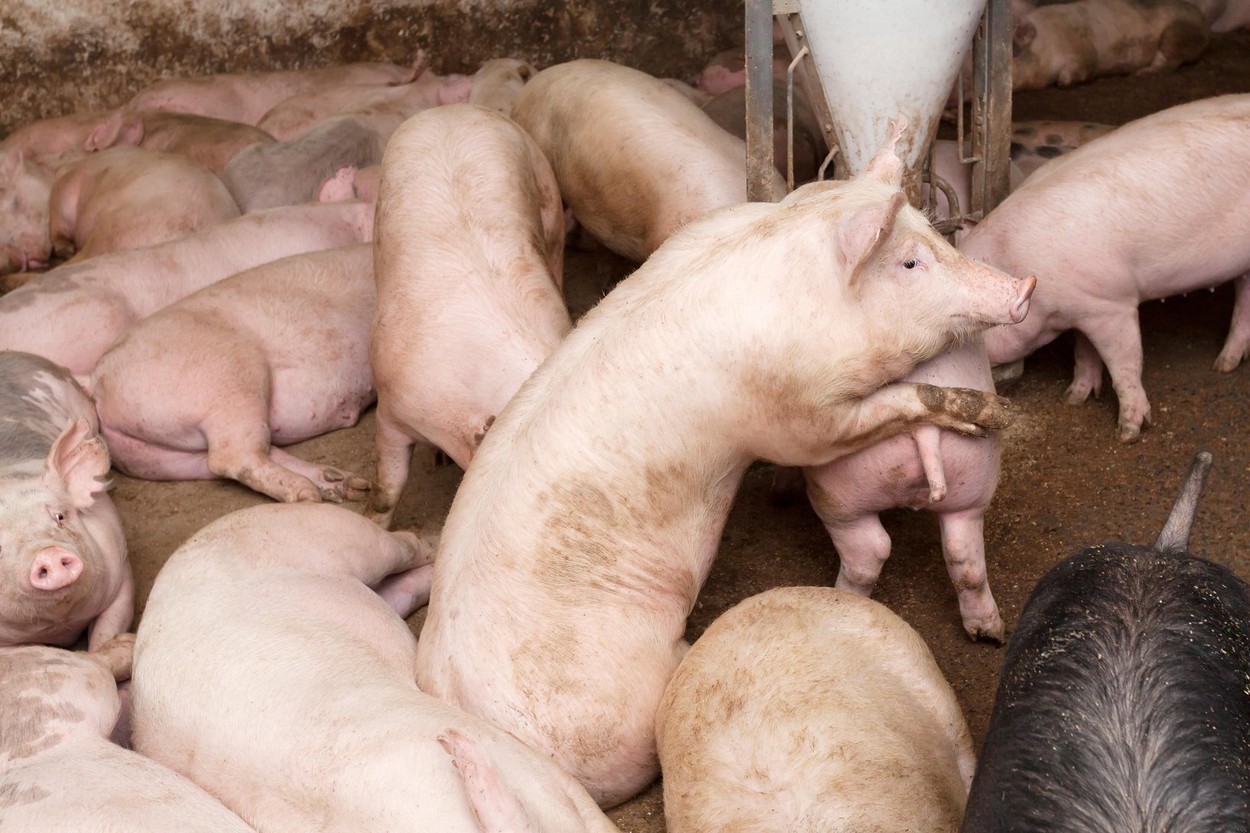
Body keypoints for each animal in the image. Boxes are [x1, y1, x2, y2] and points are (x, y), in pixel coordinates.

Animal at [89, 245, 376, 503]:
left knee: (228, 459)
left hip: (155, 457)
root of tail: (97, 385)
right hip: (231, 381)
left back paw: (352, 486)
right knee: (232, 458)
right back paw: (308, 494)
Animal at [130, 502, 621, 833]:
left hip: (331, 534)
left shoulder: (554, 782)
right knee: (401, 565)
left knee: (399, 560)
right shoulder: (539, 773)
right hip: (337, 543)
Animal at [800, 336, 1006, 643]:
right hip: (974, 481)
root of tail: (926, 430)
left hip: (835, 495)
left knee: (867, 554)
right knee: (964, 558)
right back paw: (989, 633)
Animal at [963, 94, 1250, 442]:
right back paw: (1224, 365)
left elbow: (1125, 362)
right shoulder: (1085, 306)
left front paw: (1128, 433)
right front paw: (1074, 398)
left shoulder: (1113, 304)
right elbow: (1084, 352)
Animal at [1011, 0, 1209, 90]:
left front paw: (1063, 82)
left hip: (1174, 34)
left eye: (1013, 54)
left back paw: (1141, 74)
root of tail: (1201, 17)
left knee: (1171, 62)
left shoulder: (1082, 50)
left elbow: (1083, 66)